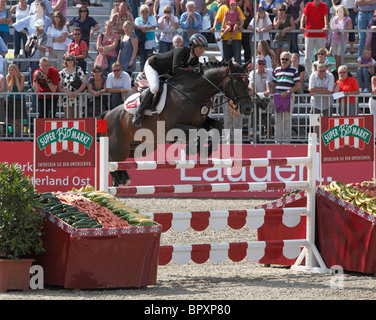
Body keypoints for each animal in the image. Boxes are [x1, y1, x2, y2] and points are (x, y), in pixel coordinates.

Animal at [98, 59, 254, 188]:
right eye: (236, 83)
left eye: (248, 83)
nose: (248, 108)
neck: (191, 94)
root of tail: (107, 114)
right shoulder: (175, 127)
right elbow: (202, 133)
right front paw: (193, 149)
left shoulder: (202, 122)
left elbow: (217, 128)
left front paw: (203, 150)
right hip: (119, 147)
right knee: (111, 159)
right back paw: (120, 180)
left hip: (143, 147)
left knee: (119, 162)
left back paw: (122, 178)